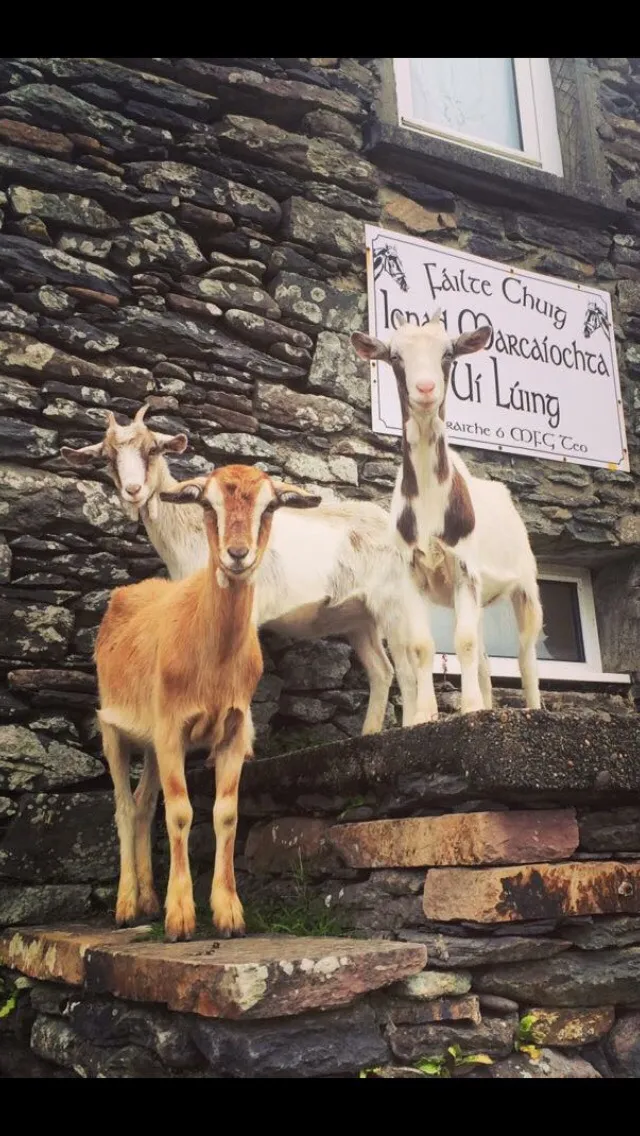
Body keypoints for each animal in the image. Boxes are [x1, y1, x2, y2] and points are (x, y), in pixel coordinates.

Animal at [62, 408, 439, 733]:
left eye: (152, 449)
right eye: (107, 457)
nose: (133, 490)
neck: (189, 531)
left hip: (395, 599)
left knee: (415, 656)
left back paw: (418, 723)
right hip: (359, 616)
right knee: (384, 669)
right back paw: (373, 731)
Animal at [95, 463, 322, 941]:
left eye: (269, 506)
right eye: (206, 503)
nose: (238, 554)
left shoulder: (233, 730)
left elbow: (226, 814)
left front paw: (229, 913)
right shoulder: (171, 729)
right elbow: (180, 814)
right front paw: (180, 917)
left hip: (151, 744)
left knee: (143, 805)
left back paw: (147, 899)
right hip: (114, 727)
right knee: (124, 807)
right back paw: (126, 905)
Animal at [352, 312, 543, 715]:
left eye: (448, 354)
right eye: (395, 357)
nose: (425, 389)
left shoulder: (464, 566)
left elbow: (465, 641)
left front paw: (469, 708)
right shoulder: (411, 571)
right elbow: (423, 646)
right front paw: (427, 713)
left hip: (525, 583)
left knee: (526, 653)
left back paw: (533, 707)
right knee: (486, 657)